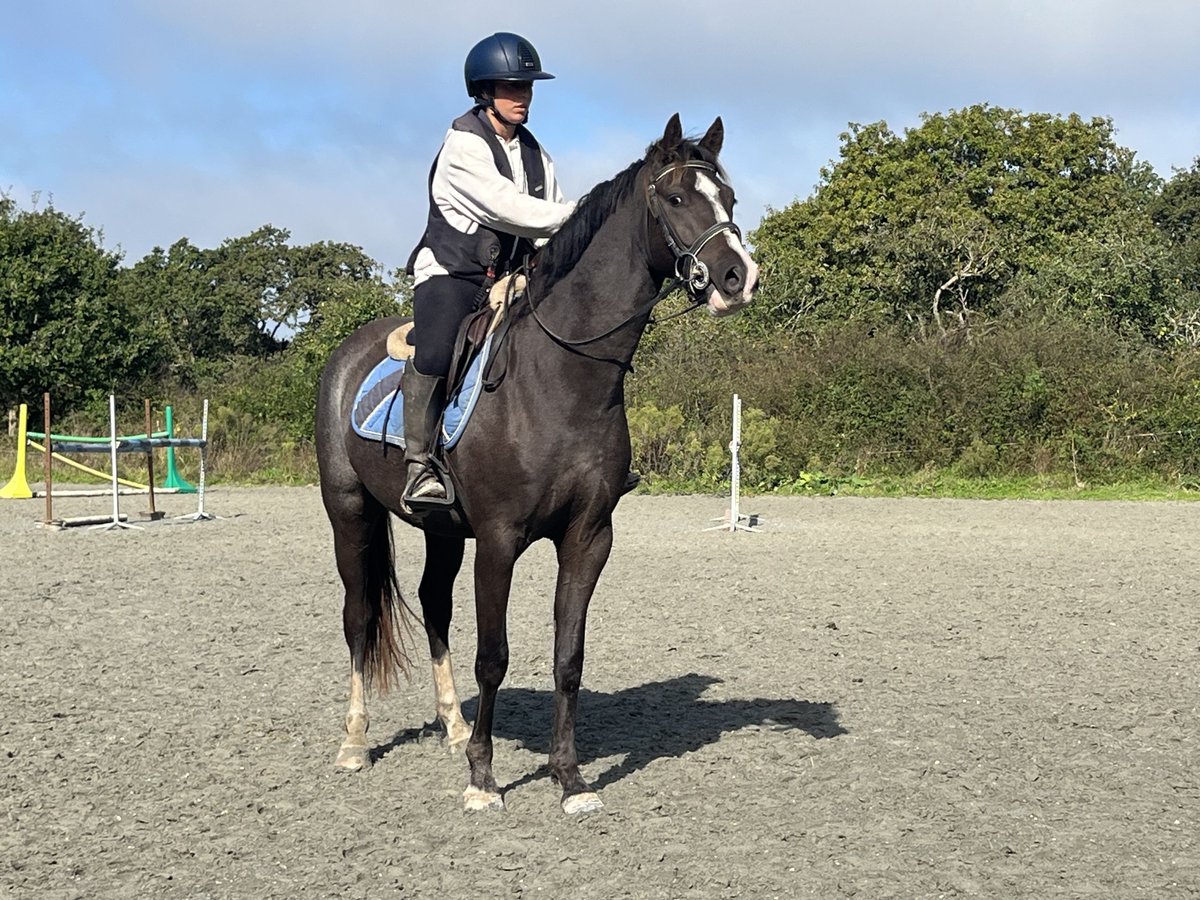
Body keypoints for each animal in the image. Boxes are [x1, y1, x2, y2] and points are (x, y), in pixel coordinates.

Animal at [314, 114, 753, 816]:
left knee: (433, 606)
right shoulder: (499, 540)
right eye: (678, 197)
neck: (562, 377)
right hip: (349, 512)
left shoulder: (588, 537)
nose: (741, 277)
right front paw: (483, 779)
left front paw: (568, 778)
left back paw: (453, 724)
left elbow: (568, 656)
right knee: (358, 618)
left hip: (442, 531)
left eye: (730, 199)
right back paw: (356, 743)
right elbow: (493, 657)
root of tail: (346, 353)